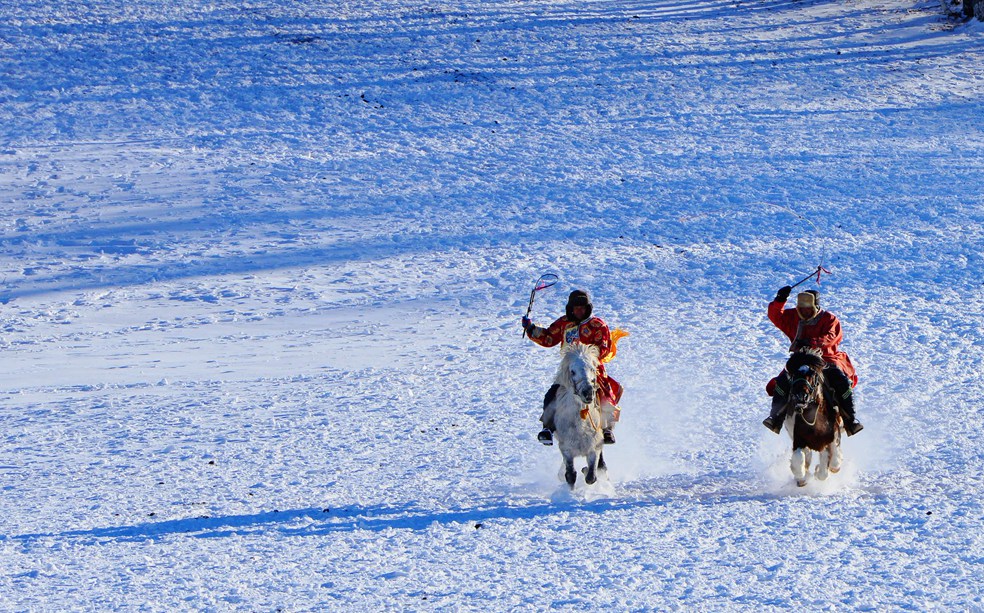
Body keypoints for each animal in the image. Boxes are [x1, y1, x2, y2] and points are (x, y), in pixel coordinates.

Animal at [544, 344, 608, 488]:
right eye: (572, 371)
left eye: (592, 368)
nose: (588, 393)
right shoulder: (566, 449)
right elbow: (570, 475)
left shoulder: (594, 447)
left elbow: (591, 477)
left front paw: (586, 470)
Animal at [780, 346, 840, 486]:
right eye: (794, 374)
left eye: (812, 375)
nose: (801, 396)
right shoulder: (798, 438)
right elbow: (798, 460)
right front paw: (802, 478)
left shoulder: (831, 436)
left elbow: (829, 462)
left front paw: (820, 470)